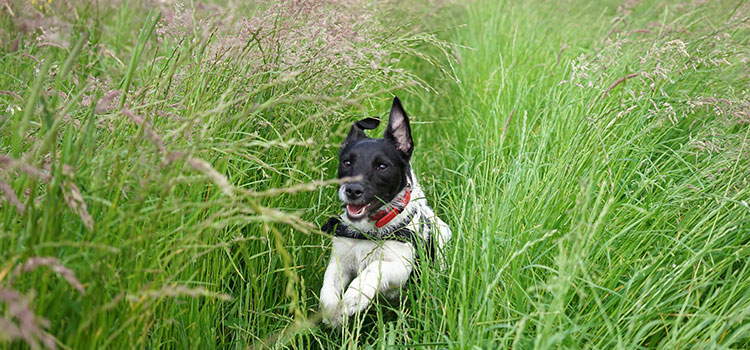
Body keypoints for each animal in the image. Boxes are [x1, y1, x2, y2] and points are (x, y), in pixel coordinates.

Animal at [318, 96, 452, 328]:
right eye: (347, 162)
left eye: (382, 166)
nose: (352, 190)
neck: (370, 229)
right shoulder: (340, 259)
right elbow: (328, 288)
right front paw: (333, 313)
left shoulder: (401, 266)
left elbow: (374, 269)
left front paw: (355, 295)